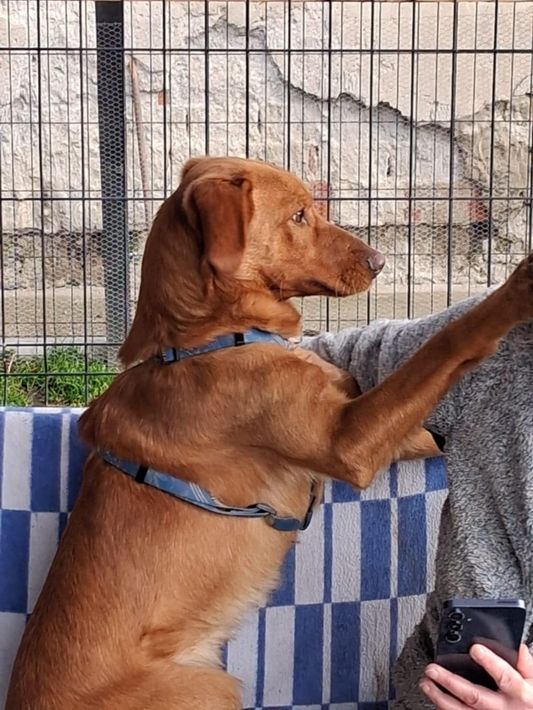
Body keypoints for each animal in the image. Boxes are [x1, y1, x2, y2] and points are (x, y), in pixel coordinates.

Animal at [7, 157, 533, 709]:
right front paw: (512, 294)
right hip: (207, 683)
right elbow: (442, 347)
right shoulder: (346, 442)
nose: (381, 260)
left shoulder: (366, 422)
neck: (208, 338)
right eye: (299, 215)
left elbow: (428, 417)